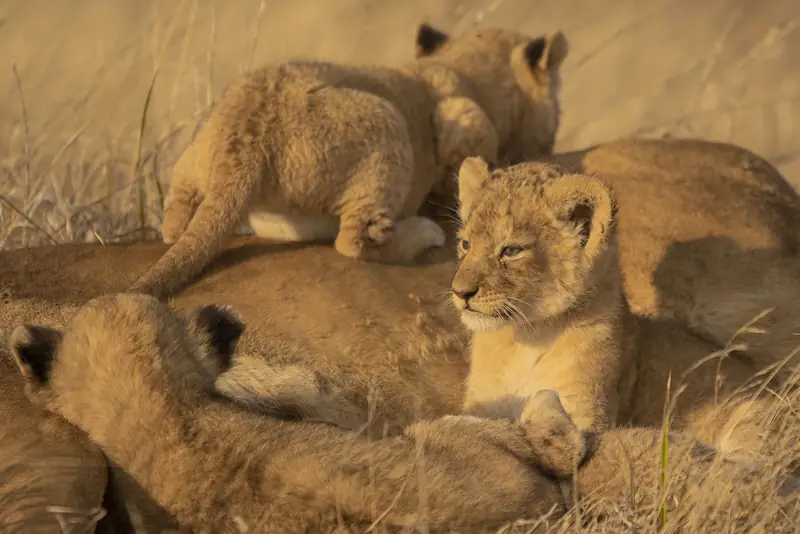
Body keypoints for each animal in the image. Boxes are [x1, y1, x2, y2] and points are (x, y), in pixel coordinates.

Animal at [129, 24, 569, 299]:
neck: (461, 67)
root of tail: (245, 136)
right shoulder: (463, 120)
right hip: (386, 125)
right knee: (352, 242)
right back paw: (421, 233)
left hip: (194, 163)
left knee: (175, 225)